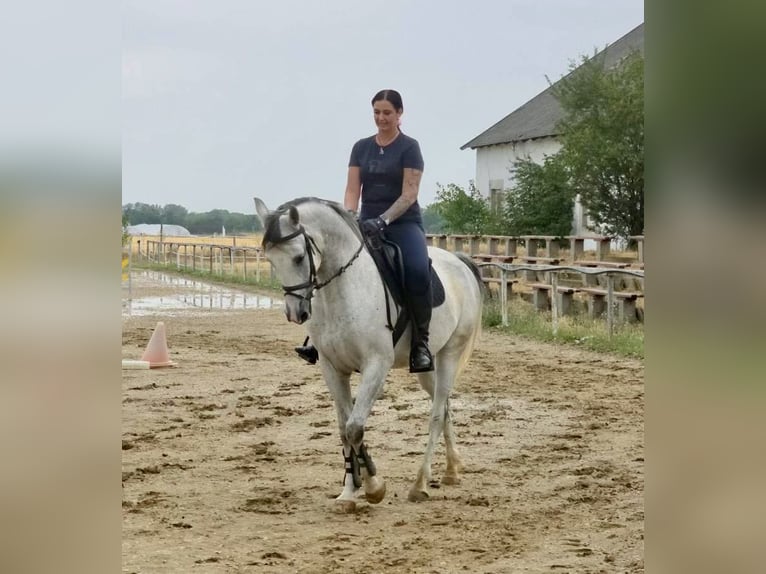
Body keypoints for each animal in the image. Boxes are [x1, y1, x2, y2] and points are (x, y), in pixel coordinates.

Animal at [254, 196, 484, 511]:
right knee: (445, 406)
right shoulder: (332, 368)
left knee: (437, 414)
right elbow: (343, 428)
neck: (342, 290)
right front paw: (349, 491)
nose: (295, 313)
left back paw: (420, 484)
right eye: (270, 259)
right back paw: (451, 470)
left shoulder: (376, 365)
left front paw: (374, 486)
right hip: (429, 367)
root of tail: (459, 261)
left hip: (450, 353)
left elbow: (355, 427)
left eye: (299, 257)